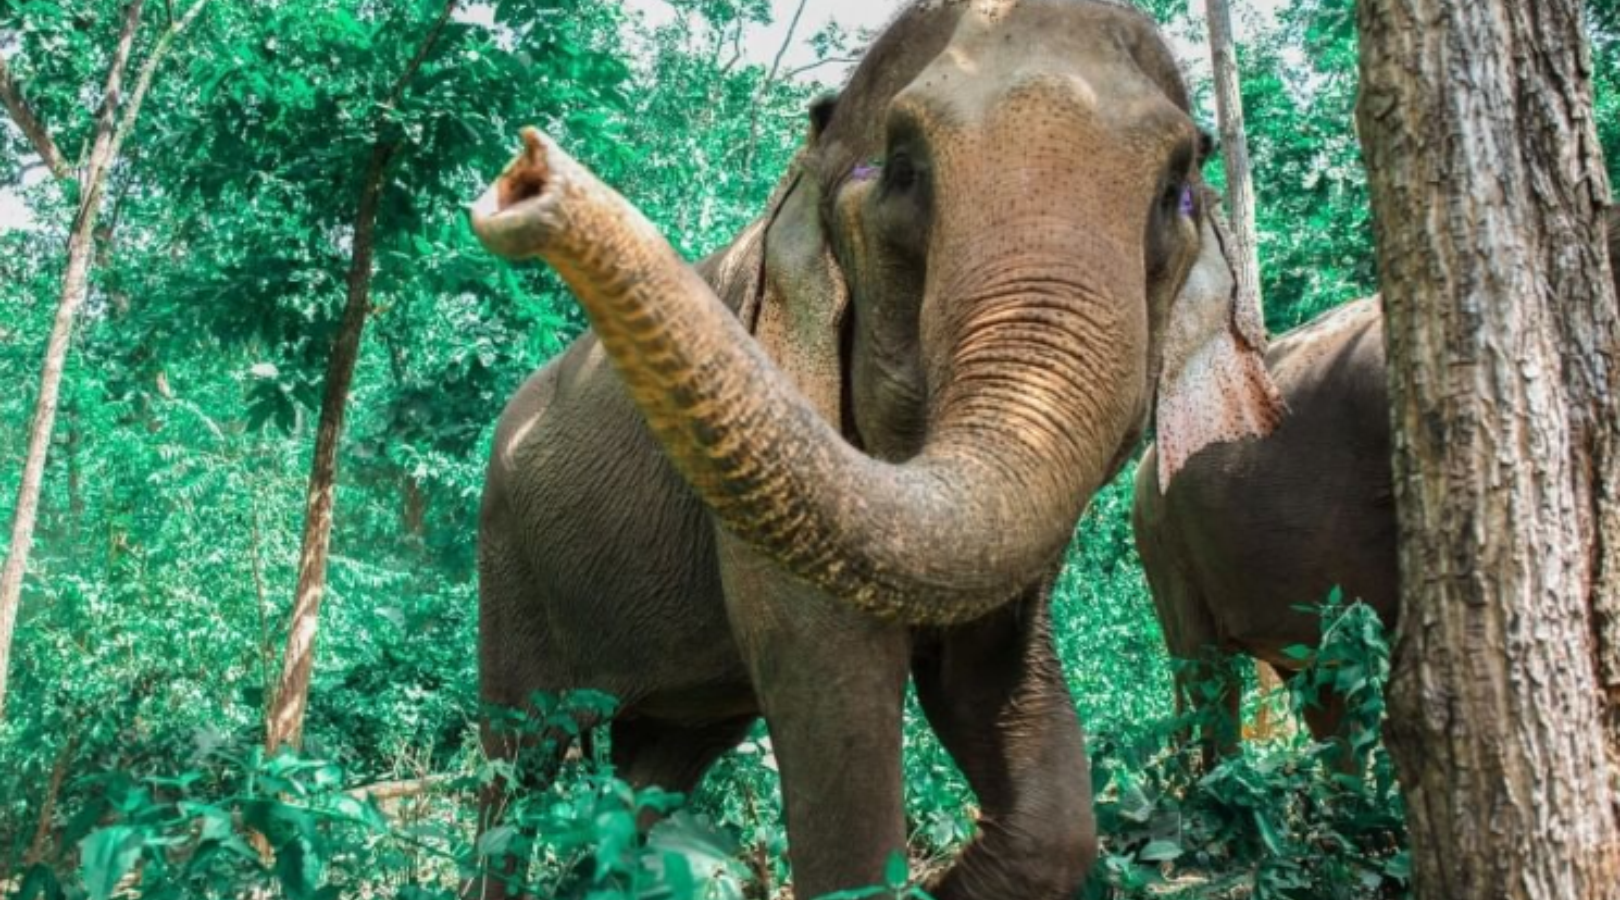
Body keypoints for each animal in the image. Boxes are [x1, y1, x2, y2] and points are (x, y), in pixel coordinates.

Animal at [464, 1, 1283, 897]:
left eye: (1174, 192)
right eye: (901, 170)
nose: (525, 176)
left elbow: (993, 703)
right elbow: (836, 686)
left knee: (656, 769)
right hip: (508, 574)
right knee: (516, 769)